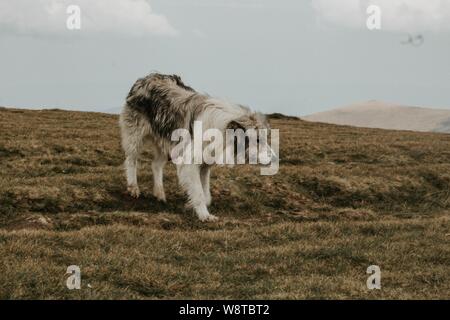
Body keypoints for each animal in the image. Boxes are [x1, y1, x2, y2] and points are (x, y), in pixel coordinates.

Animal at [118, 73, 268, 221]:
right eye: (257, 139)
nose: (271, 158)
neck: (221, 128)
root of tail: (146, 77)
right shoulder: (190, 163)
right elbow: (200, 193)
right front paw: (204, 216)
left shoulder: (205, 165)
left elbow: (206, 194)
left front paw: (192, 206)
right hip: (135, 137)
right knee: (131, 160)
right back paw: (133, 188)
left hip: (166, 142)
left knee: (155, 165)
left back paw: (159, 194)